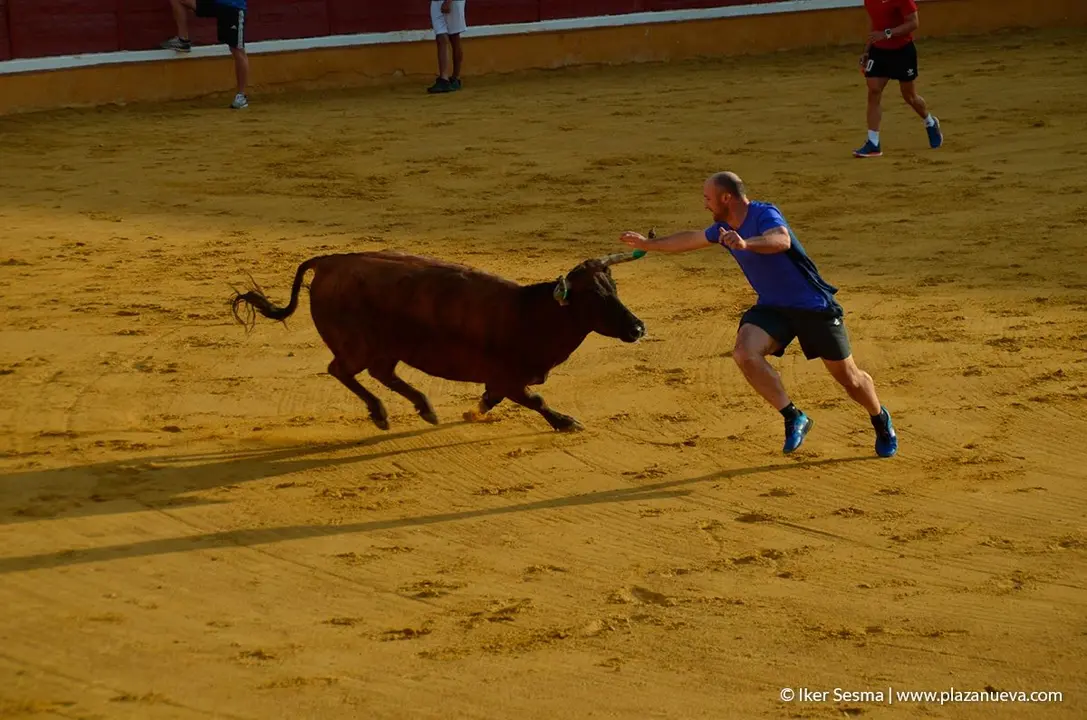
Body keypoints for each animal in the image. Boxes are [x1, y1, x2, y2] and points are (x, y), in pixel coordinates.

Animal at [230, 245, 649, 432]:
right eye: (594, 296)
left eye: (614, 288)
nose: (637, 328)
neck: (531, 314)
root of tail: (329, 262)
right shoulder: (511, 378)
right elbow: (537, 400)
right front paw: (565, 422)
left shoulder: (502, 381)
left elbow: (494, 397)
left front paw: (474, 410)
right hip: (357, 346)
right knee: (342, 370)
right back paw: (381, 414)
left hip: (386, 348)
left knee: (381, 373)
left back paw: (424, 408)